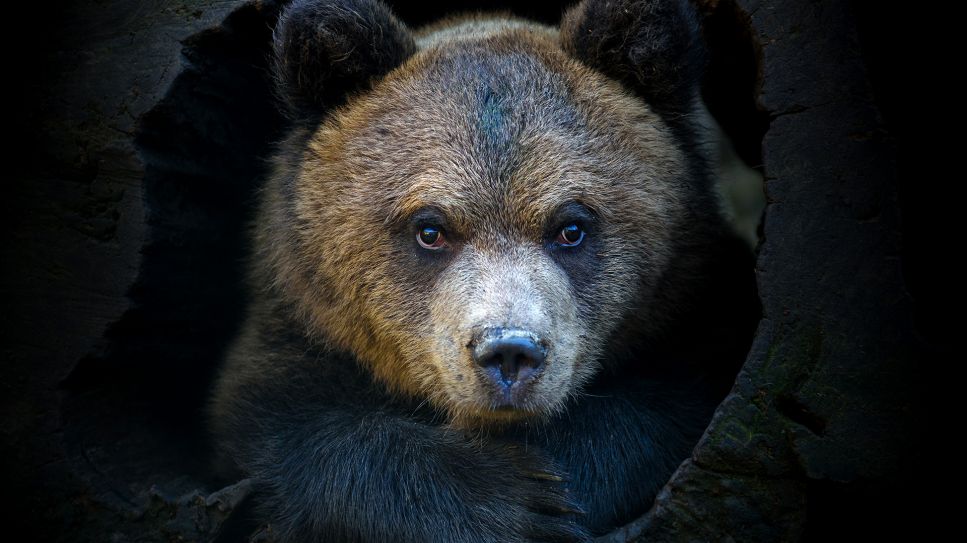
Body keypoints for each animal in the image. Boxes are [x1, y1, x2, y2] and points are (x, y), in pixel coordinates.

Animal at [208, 0, 760, 540]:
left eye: (571, 227)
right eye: (430, 229)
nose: (509, 352)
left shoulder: (693, 313)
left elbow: (663, 405)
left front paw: (564, 483)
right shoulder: (299, 331)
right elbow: (289, 426)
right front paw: (518, 503)